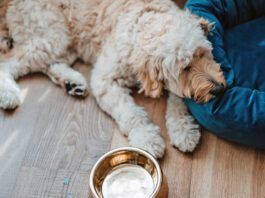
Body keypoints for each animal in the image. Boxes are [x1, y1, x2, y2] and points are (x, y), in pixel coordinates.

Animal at [0, 0, 225, 158]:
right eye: (185, 67)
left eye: (203, 53)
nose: (219, 89)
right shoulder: (104, 81)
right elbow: (131, 113)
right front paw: (147, 137)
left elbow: (179, 99)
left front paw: (183, 129)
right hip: (53, 35)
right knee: (9, 61)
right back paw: (9, 93)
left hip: (65, 40)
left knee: (49, 64)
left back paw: (73, 82)